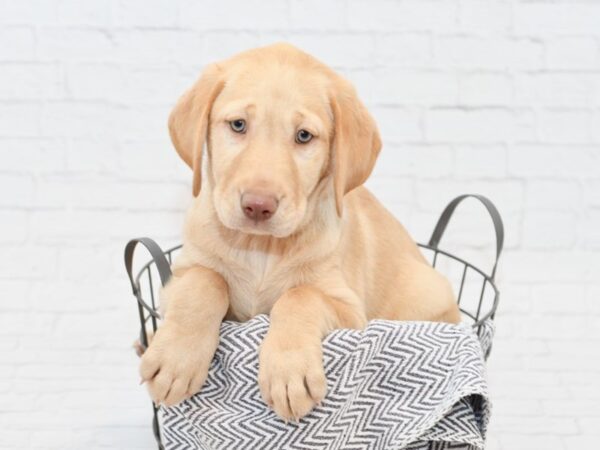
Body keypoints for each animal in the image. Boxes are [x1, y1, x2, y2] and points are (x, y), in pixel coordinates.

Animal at [141, 43, 460, 422]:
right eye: (238, 125)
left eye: (304, 136)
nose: (258, 206)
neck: (260, 247)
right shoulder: (180, 276)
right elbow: (205, 282)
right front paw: (176, 359)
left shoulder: (351, 311)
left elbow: (300, 296)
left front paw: (288, 371)